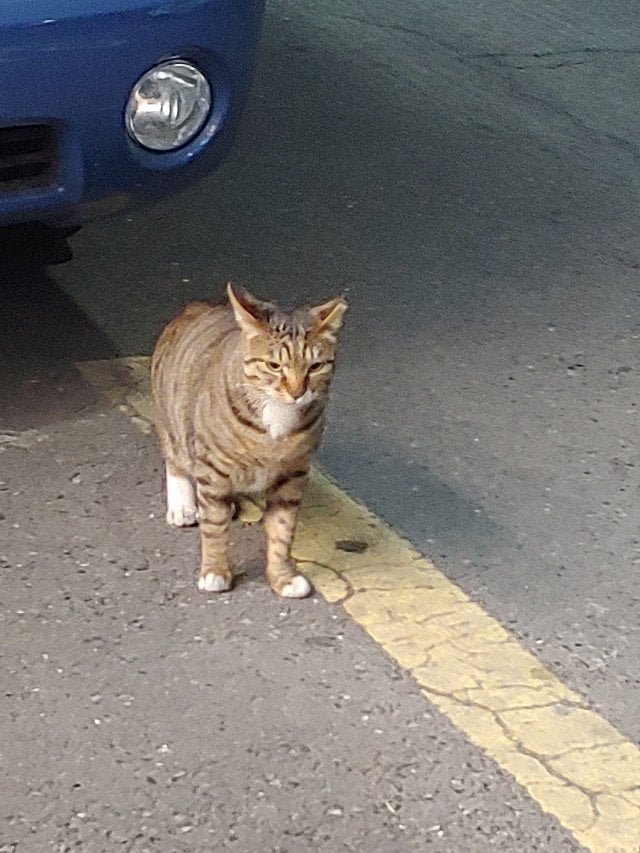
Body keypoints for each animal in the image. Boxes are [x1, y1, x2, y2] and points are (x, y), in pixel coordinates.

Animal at [150, 282, 348, 596]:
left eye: (315, 366)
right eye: (274, 366)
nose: (297, 392)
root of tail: (196, 306)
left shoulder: (293, 474)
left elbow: (282, 531)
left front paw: (282, 576)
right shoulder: (213, 467)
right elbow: (214, 528)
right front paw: (215, 571)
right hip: (174, 424)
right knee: (176, 461)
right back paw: (183, 505)